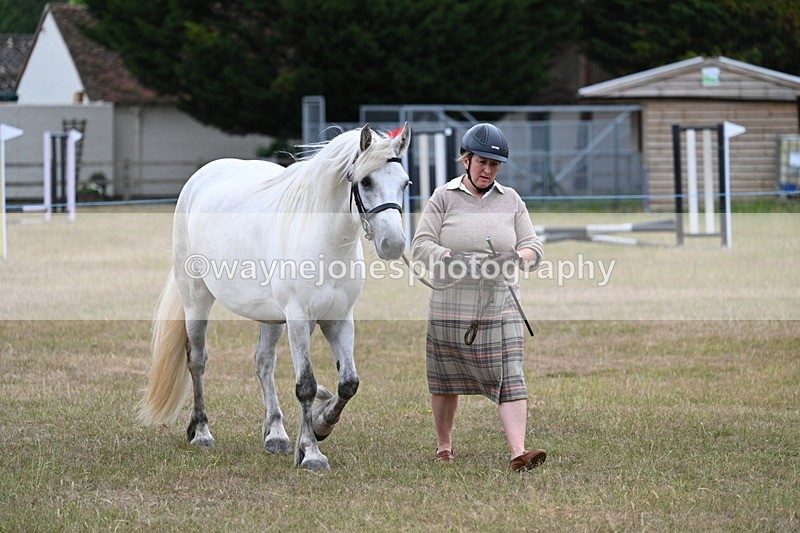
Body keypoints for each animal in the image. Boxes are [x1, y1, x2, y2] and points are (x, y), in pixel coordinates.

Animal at [138, 123, 411, 471]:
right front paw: (311, 452)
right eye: (366, 181)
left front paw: (321, 425)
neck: (324, 241)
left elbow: (348, 383)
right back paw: (201, 432)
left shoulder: (339, 318)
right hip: (196, 299)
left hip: (270, 317)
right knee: (197, 360)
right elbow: (306, 385)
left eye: (405, 182)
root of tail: (199, 178)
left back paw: (276, 435)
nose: (394, 244)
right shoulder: (298, 319)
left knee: (264, 363)